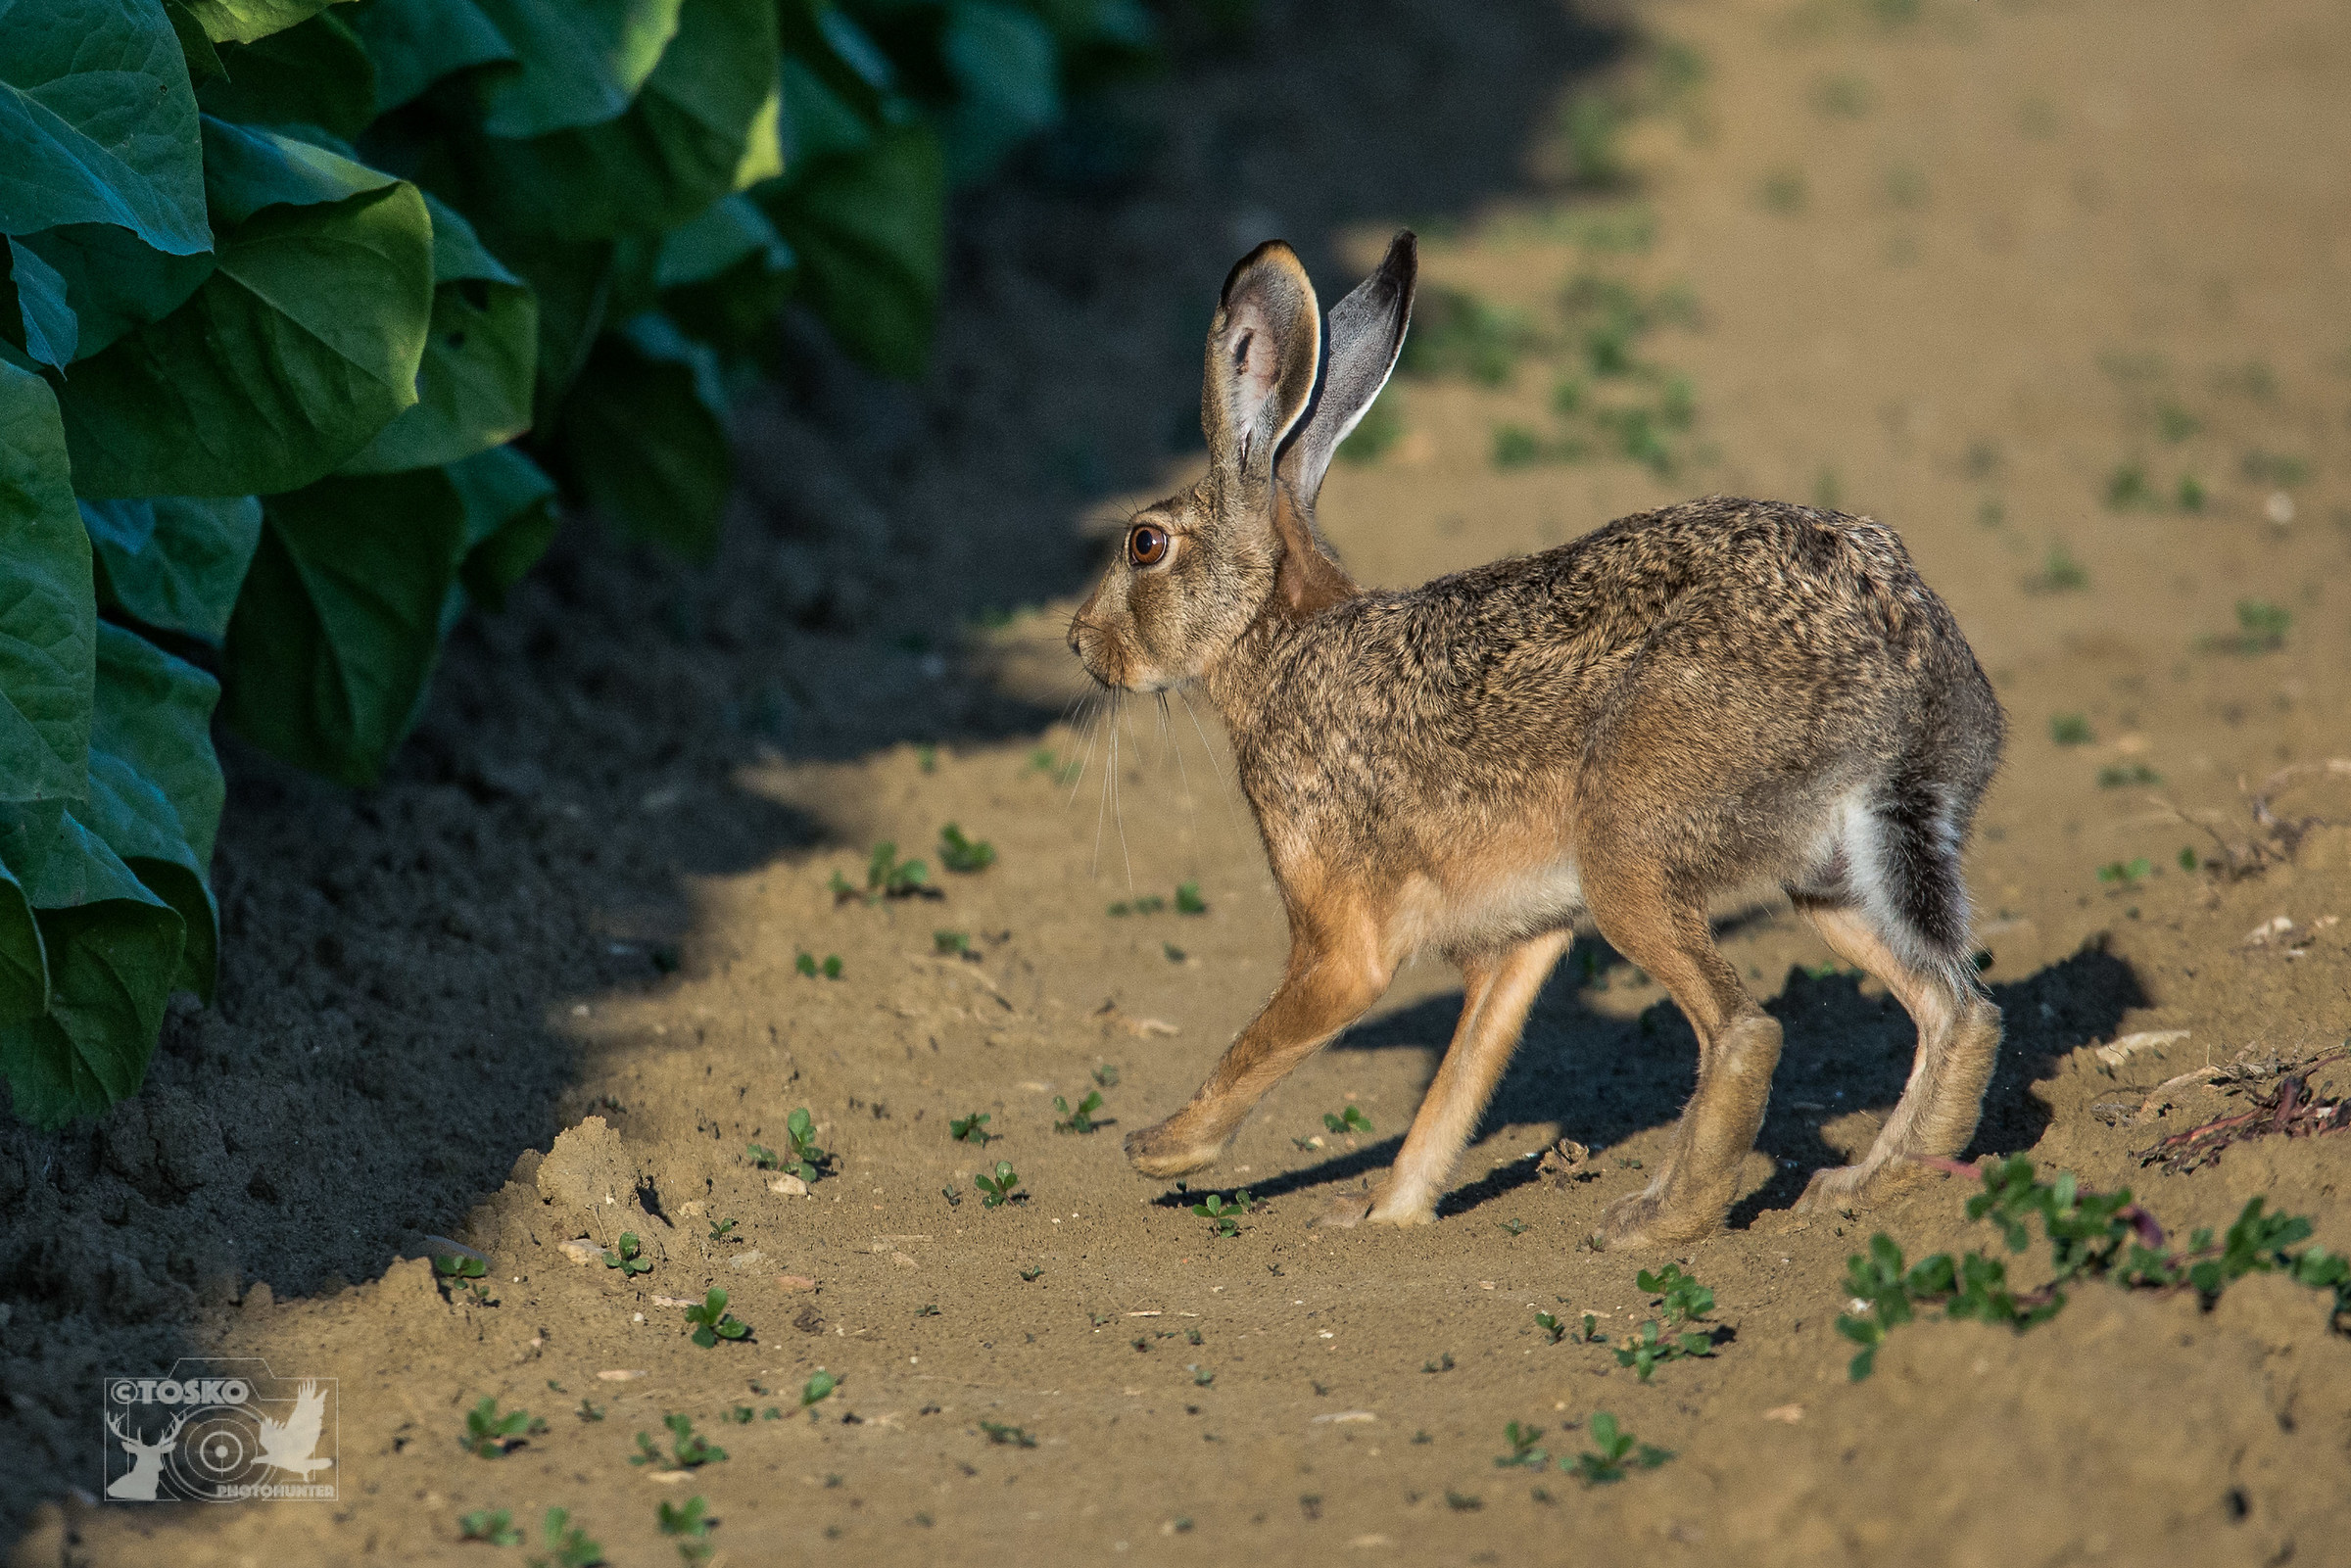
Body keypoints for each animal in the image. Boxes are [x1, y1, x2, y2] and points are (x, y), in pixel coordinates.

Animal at [1066, 231, 2006, 1247]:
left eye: (1145, 545)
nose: (1078, 641)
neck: (1276, 639)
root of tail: (1905, 678)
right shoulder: (1522, 941)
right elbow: (1458, 1084)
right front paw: (1383, 1215)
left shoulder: (1341, 940)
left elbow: (1269, 1038)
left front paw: (1161, 1147)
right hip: (1827, 874)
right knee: (1959, 1011)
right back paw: (1870, 1183)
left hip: (1629, 846)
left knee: (1747, 1031)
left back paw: (1653, 1219)